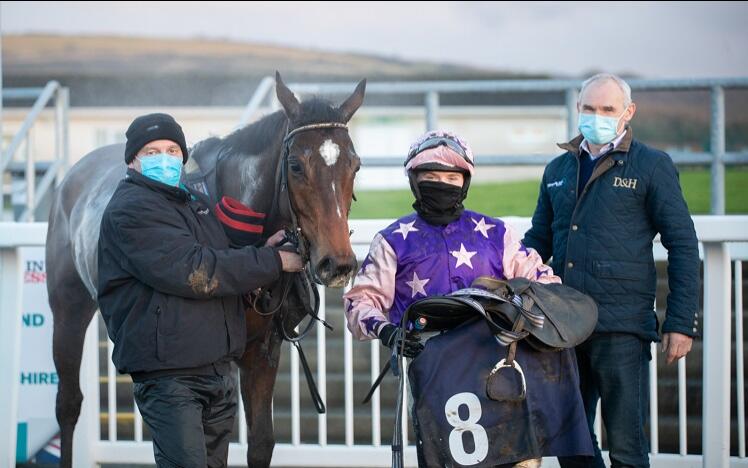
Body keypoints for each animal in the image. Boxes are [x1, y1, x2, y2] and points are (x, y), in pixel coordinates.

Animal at [43, 71, 366, 466]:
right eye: (295, 166)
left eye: (355, 164)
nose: (338, 263)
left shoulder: (263, 349)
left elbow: (260, 442)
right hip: (68, 309)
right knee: (68, 403)